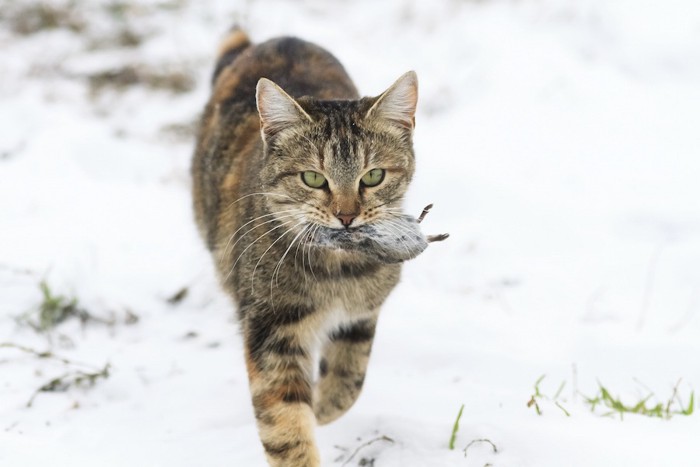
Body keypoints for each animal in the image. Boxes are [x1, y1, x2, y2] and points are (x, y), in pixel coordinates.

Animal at [191, 29, 418, 467]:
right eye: (313, 178)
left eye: (374, 176)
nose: (346, 215)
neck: (338, 271)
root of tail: (278, 39)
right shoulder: (271, 329)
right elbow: (285, 423)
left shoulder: (361, 314)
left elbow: (349, 379)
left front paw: (324, 406)